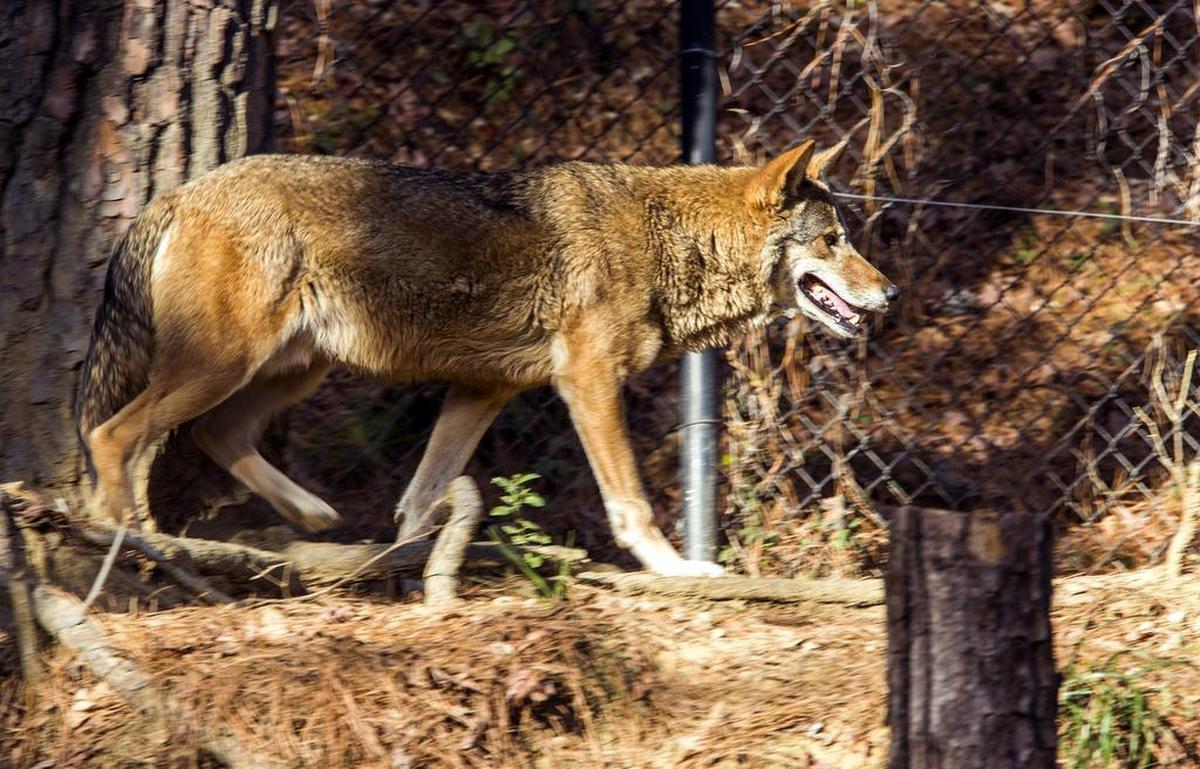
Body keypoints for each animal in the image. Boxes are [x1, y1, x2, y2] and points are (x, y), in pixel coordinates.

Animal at [75, 139, 897, 577]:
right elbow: (631, 502)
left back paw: (308, 514)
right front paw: (676, 568)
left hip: (291, 370)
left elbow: (418, 502)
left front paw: (405, 568)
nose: (889, 292)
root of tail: (175, 193)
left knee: (214, 434)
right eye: (834, 241)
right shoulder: (586, 382)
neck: (667, 238)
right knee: (114, 435)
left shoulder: (481, 392)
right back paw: (130, 547)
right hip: (225, 365)